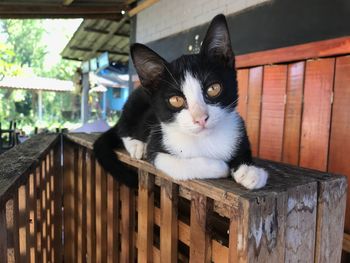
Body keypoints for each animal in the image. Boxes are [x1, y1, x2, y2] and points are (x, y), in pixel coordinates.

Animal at [93, 13, 268, 190]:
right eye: (176, 100)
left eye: (213, 89)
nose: (200, 118)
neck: (206, 140)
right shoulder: (157, 148)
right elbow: (182, 165)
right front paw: (220, 166)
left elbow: (243, 149)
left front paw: (250, 170)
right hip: (134, 103)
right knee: (122, 128)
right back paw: (136, 145)